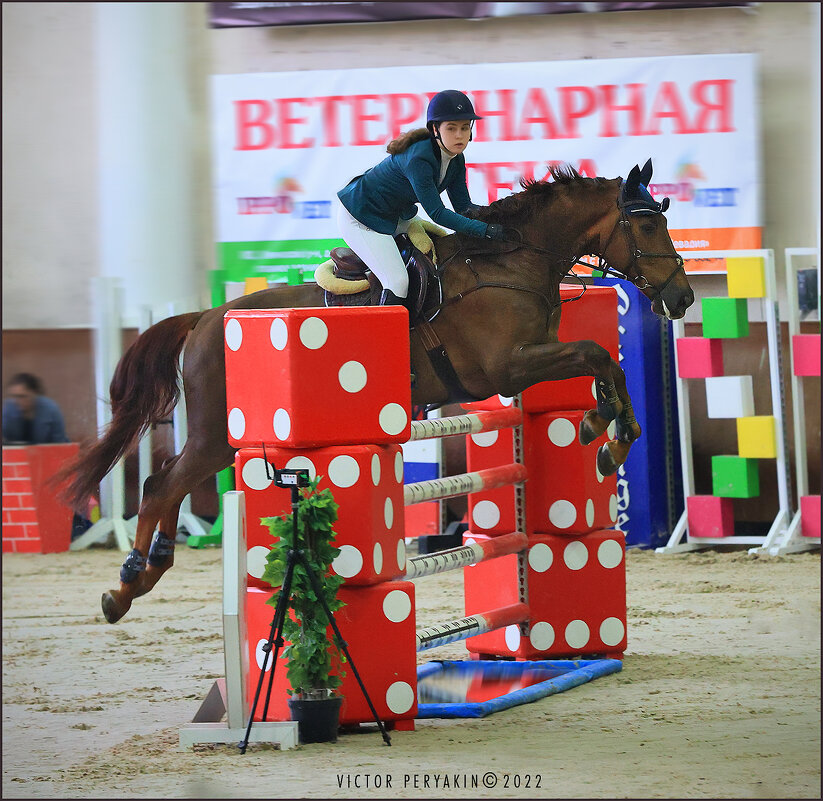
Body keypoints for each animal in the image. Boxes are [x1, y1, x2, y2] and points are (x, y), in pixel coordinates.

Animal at [62, 159, 688, 620]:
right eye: (647, 224)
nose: (683, 298)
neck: (511, 261)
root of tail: (206, 317)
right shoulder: (505, 370)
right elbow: (596, 353)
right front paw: (607, 433)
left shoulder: (530, 361)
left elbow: (602, 362)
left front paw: (608, 434)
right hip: (218, 432)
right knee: (162, 485)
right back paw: (125, 586)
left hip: (219, 439)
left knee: (165, 484)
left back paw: (149, 570)